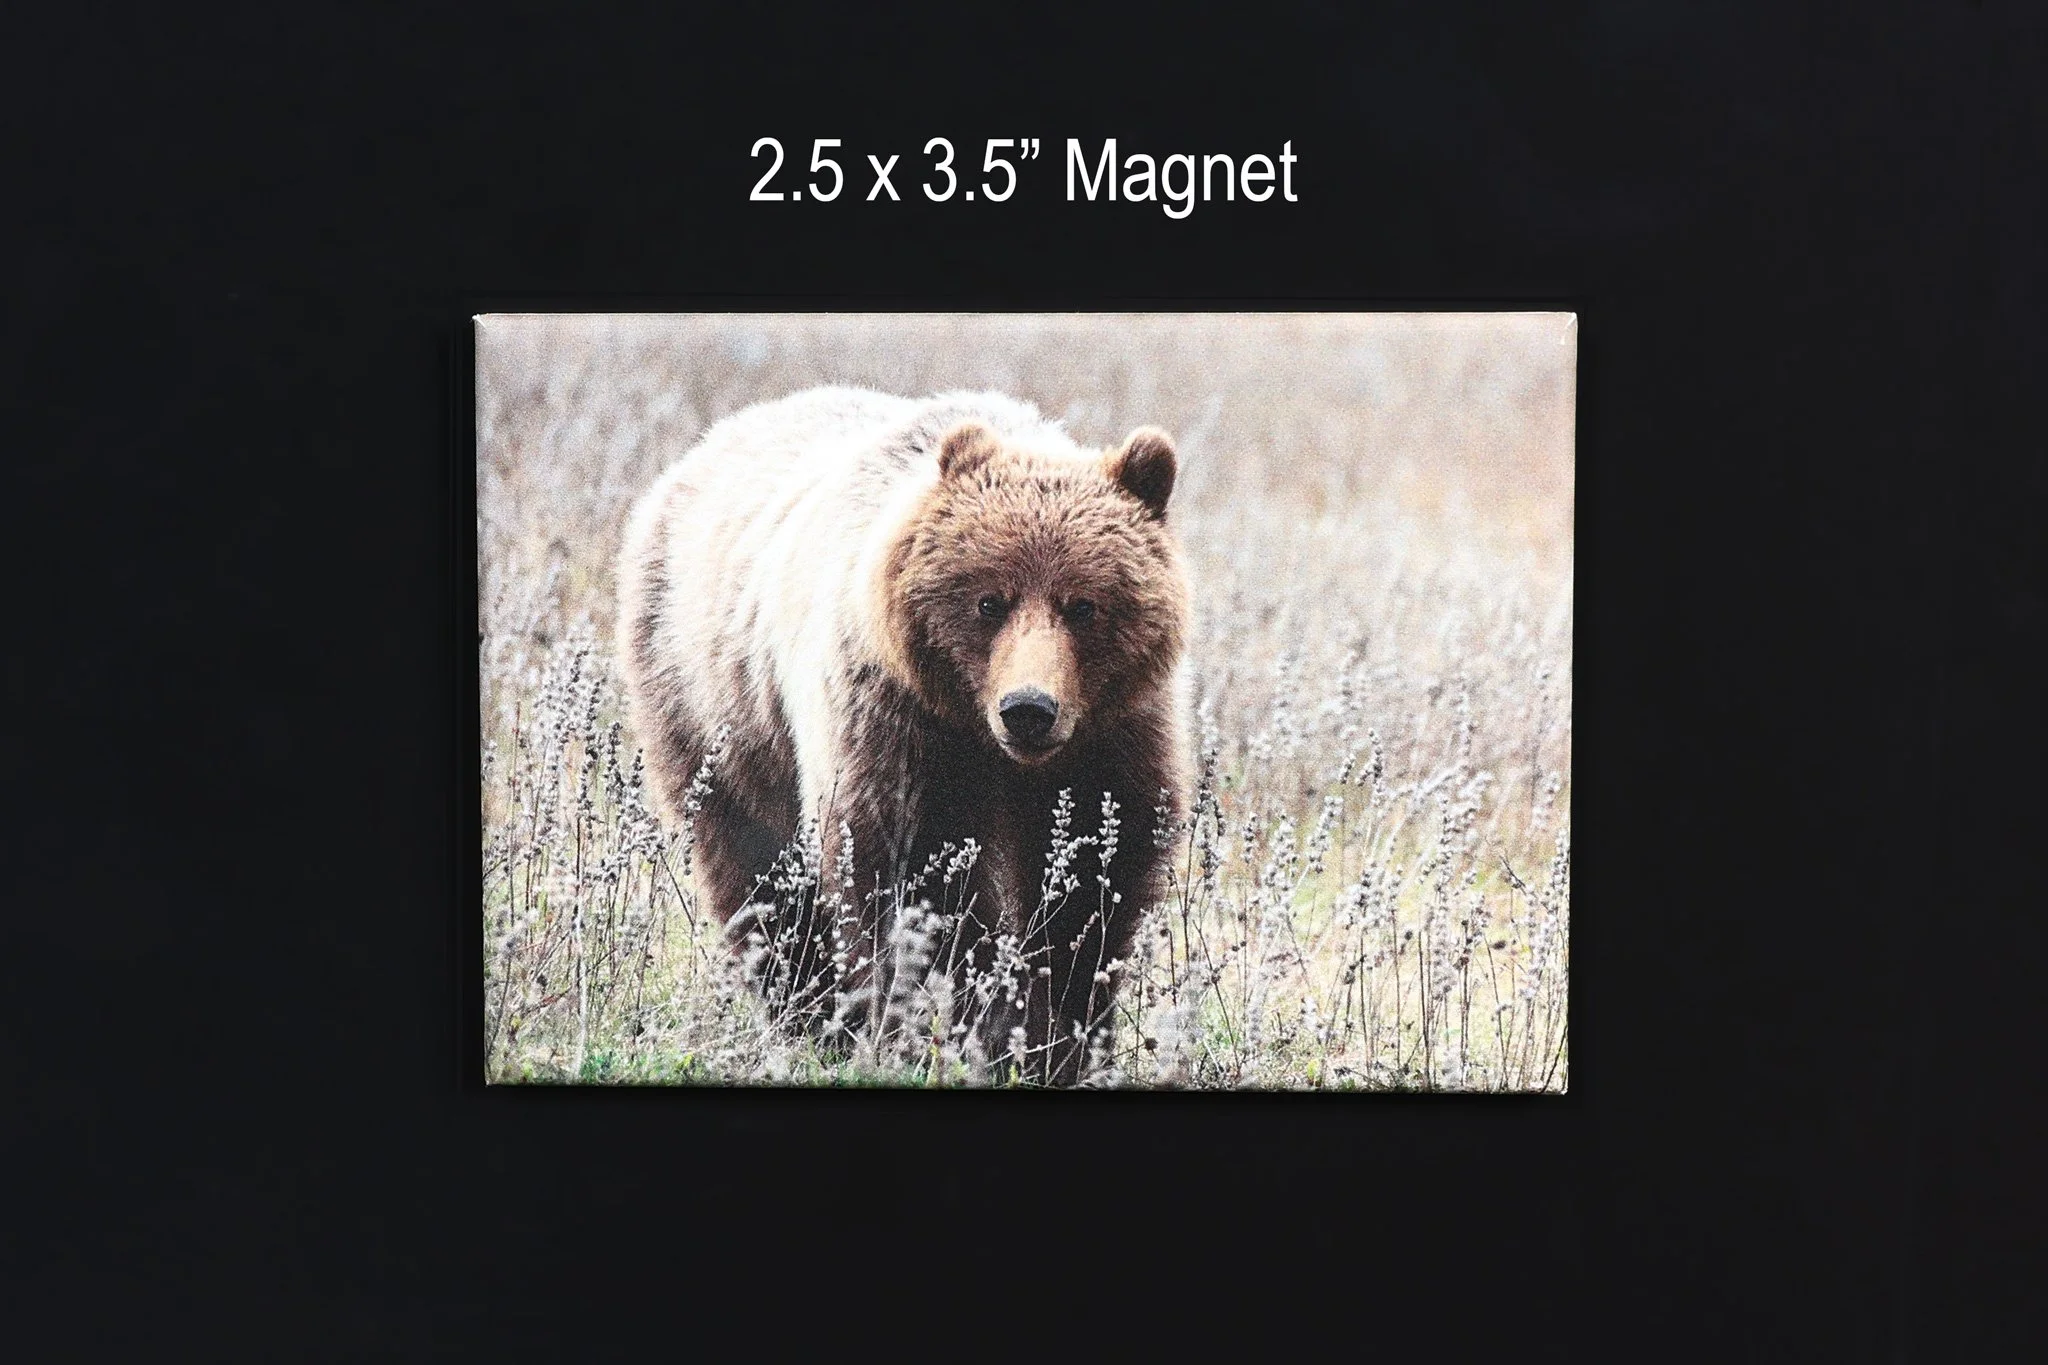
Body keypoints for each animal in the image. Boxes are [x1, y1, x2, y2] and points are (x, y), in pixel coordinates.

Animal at [615, 386, 1190, 1085]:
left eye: (1083, 604)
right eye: (989, 601)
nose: (1028, 708)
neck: (989, 744)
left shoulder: (1110, 740)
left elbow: (1092, 883)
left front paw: (1056, 1040)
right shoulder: (898, 723)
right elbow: (911, 875)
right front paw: (950, 1028)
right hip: (715, 708)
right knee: (756, 872)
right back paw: (810, 1019)